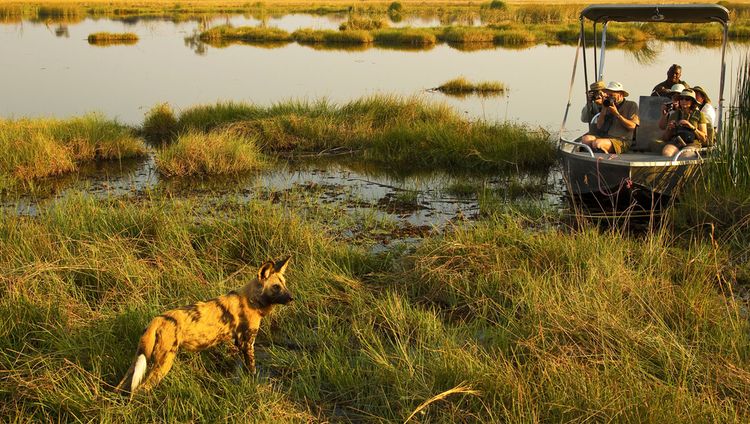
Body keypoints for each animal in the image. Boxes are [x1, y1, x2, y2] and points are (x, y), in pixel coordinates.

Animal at [117, 255, 294, 398]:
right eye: (276, 287)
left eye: (285, 284)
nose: (292, 298)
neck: (252, 299)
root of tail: (158, 319)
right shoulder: (248, 344)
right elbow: (252, 369)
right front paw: (255, 383)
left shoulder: (239, 344)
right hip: (164, 363)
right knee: (142, 389)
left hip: (138, 359)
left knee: (122, 385)